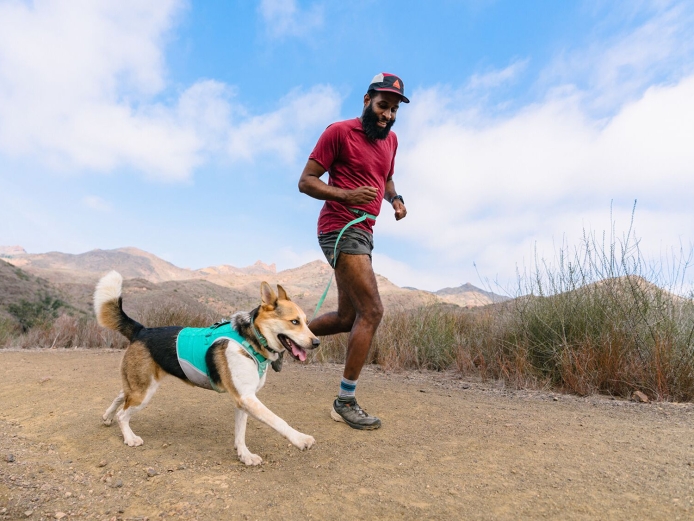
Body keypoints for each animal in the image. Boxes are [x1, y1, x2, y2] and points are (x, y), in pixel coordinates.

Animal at [94, 270, 322, 466]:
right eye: (294, 322)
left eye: (306, 321)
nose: (317, 342)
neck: (251, 339)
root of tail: (141, 330)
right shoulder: (247, 398)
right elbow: (278, 420)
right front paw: (300, 439)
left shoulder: (244, 399)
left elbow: (240, 432)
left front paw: (244, 455)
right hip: (144, 392)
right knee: (123, 414)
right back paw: (129, 437)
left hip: (138, 385)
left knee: (121, 395)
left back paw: (107, 416)